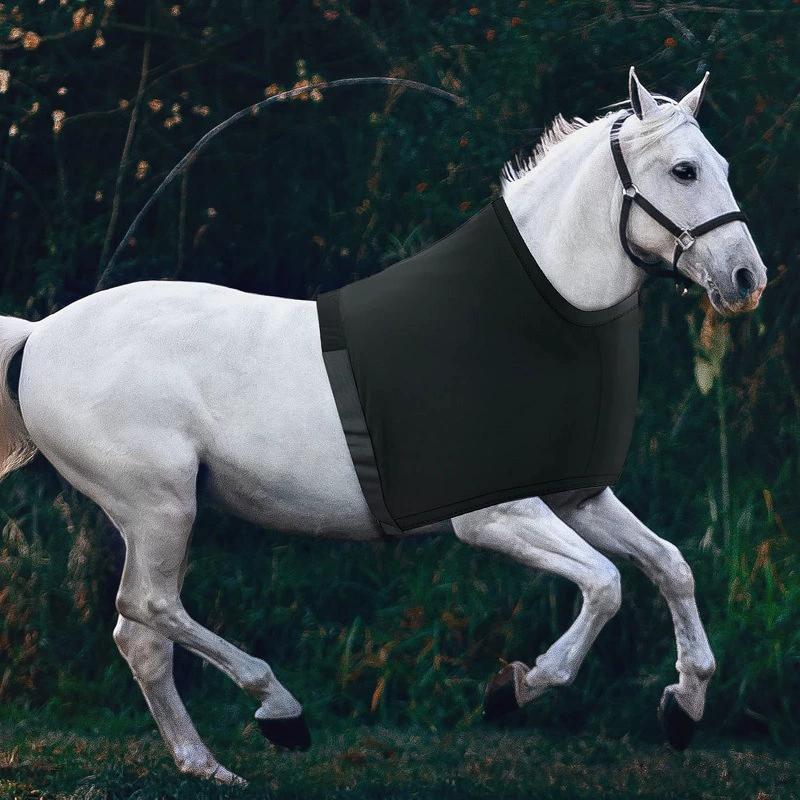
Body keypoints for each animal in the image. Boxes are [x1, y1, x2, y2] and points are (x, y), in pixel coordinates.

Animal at [0, 69, 766, 785]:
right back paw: (279, 709)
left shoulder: (577, 498)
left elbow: (670, 565)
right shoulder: (496, 517)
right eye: (684, 170)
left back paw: (207, 764)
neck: (521, 326)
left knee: (140, 634)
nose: (746, 278)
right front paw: (516, 687)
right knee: (150, 606)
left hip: (157, 516)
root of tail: (39, 336)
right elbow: (606, 585)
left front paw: (684, 705)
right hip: (158, 508)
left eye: (721, 164)